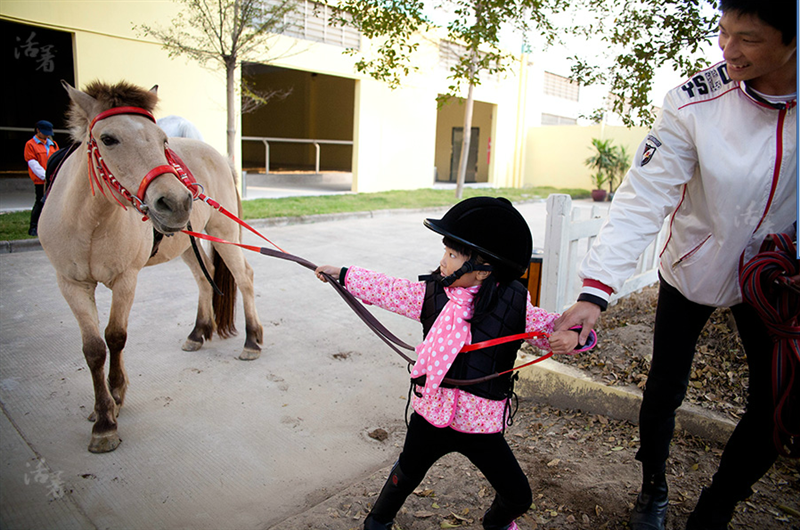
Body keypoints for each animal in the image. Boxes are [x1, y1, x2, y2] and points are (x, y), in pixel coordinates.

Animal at [38, 80, 262, 452]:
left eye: (162, 140)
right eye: (108, 139)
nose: (177, 201)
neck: (90, 221)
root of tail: (219, 155)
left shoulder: (126, 280)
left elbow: (115, 337)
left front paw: (113, 402)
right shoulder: (71, 284)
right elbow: (93, 349)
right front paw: (103, 413)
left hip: (224, 232)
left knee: (243, 277)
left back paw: (252, 341)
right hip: (186, 243)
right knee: (204, 279)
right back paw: (198, 332)